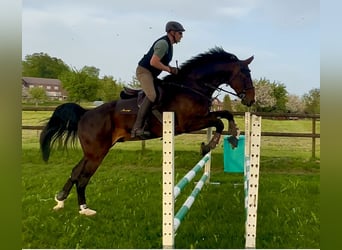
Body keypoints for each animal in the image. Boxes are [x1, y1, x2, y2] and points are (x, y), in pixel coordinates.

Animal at [39, 47, 254, 215]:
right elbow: (219, 122)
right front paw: (210, 145)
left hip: (94, 151)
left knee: (76, 172)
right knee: (83, 177)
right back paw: (83, 208)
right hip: (96, 153)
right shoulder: (190, 123)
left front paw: (232, 134)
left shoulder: (202, 116)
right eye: (246, 74)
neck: (192, 86)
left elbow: (225, 114)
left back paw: (63, 201)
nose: (251, 100)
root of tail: (85, 113)